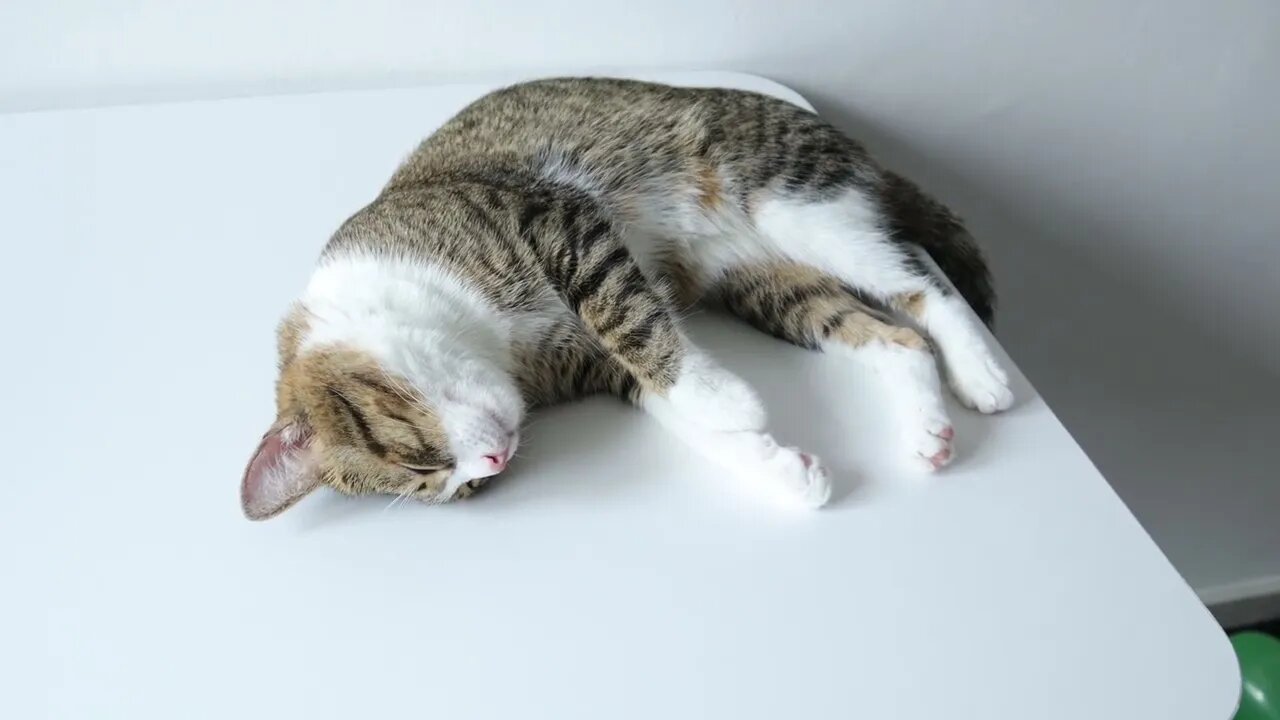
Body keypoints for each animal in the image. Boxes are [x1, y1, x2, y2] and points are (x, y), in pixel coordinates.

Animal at [240, 77, 1013, 515]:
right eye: (452, 489)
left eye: (416, 463)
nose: (489, 467)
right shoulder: (588, 364)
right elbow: (668, 402)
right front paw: (782, 470)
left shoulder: (553, 216)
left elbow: (625, 312)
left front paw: (727, 399)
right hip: (768, 283)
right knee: (892, 334)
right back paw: (929, 430)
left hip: (792, 201)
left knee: (919, 278)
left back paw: (982, 372)